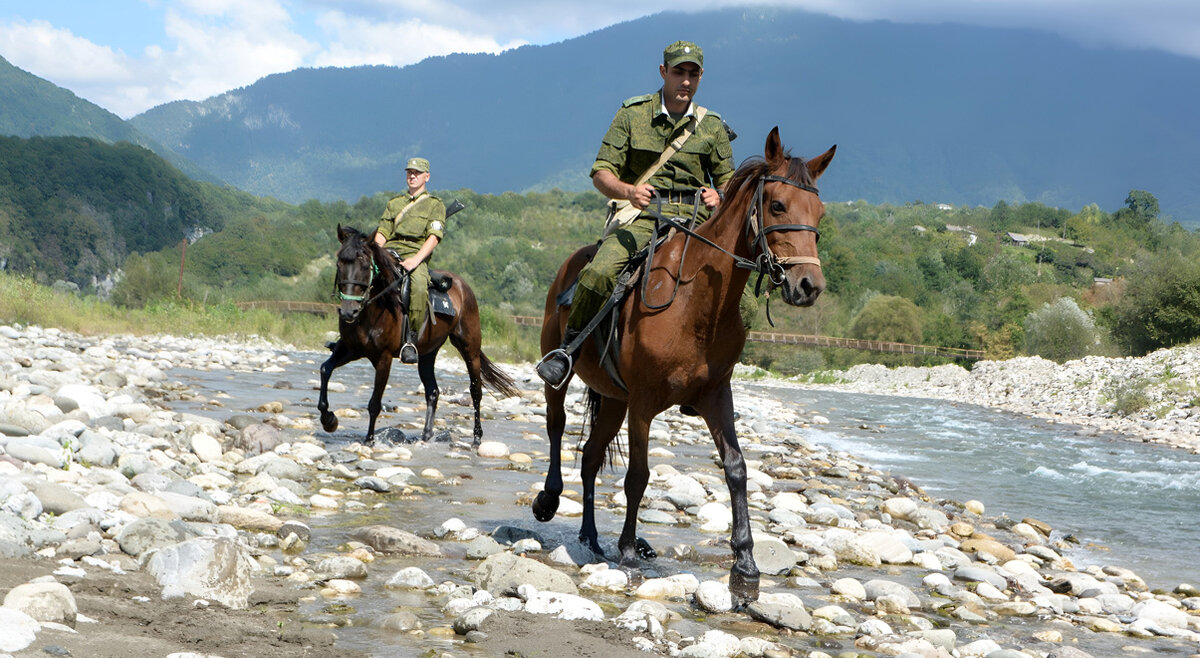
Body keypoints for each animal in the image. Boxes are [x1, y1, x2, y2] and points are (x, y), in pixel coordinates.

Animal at [316, 223, 518, 444]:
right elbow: (325, 369)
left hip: (469, 349)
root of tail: (463, 287)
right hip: (427, 354)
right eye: (339, 263)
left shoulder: (383, 358)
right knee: (433, 391)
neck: (375, 308)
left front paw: (369, 439)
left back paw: (477, 438)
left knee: (476, 391)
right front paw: (329, 420)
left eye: (365, 265)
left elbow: (375, 402)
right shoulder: (350, 349)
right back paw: (427, 435)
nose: (348, 311)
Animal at [532, 127, 835, 600]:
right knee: (557, 426)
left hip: (613, 399)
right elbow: (638, 476)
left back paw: (591, 538)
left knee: (590, 456)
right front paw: (629, 554)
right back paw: (549, 501)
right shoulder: (643, 403)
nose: (809, 286)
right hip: (567, 382)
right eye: (778, 205)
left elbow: (736, 469)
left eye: (819, 211)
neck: (696, 304)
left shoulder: (715, 397)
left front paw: (746, 568)